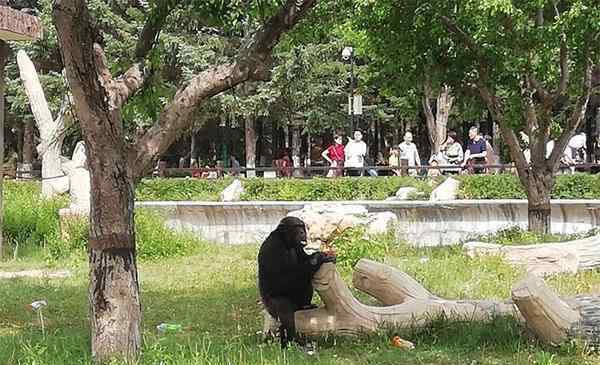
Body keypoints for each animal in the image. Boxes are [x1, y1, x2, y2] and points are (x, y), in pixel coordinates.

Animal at [256, 216, 336, 346]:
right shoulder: (273, 247)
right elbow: (280, 281)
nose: (303, 232)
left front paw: (322, 255)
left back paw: (305, 307)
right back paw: (293, 340)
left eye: (302, 226)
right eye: (297, 227)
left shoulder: (299, 247)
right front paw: (317, 258)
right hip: (271, 308)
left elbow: (304, 259)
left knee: (306, 283)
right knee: (284, 308)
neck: (285, 242)